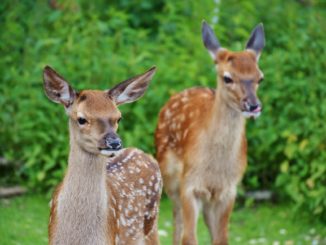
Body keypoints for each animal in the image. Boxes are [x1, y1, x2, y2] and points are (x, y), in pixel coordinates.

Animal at [155, 21, 264, 245]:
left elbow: (221, 238)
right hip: (169, 176)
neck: (215, 169)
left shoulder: (228, 190)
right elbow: (189, 237)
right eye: (227, 78)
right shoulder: (189, 184)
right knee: (177, 223)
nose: (253, 105)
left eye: (260, 78)